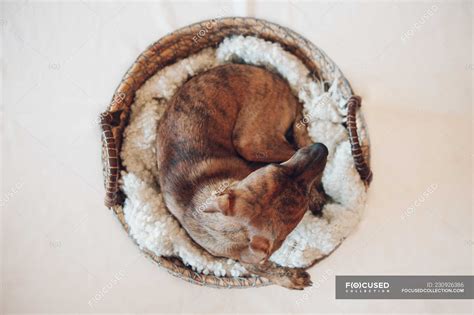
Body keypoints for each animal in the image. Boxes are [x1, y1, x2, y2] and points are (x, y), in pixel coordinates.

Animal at [157, 63, 328, 288]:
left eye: (275, 168)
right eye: (302, 202)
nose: (322, 148)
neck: (231, 233)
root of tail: (276, 79)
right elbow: (255, 266)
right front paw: (289, 277)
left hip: (251, 144)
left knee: (295, 143)